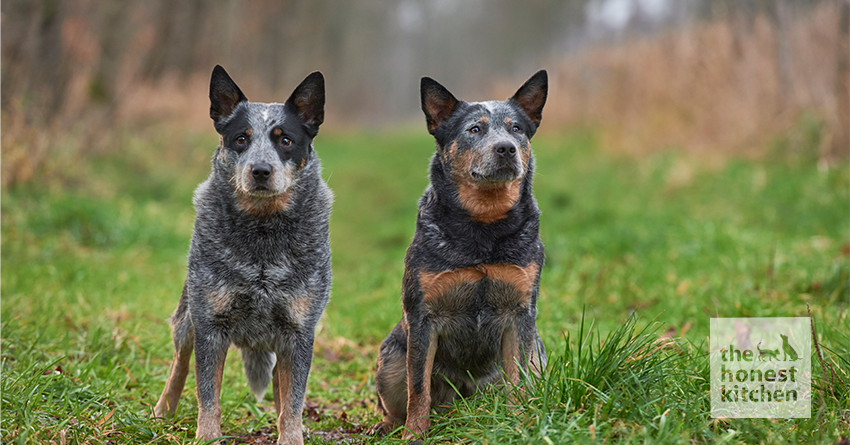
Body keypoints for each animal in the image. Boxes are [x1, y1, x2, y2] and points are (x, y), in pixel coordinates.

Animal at [154, 63, 330, 444]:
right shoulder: (209, 326)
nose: (260, 170)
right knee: (179, 362)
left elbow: (292, 401)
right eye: (241, 138)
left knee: (281, 390)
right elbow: (208, 395)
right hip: (187, 317)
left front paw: (291, 436)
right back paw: (163, 410)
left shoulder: (299, 333)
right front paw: (206, 437)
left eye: (285, 139)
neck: (262, 235)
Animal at [368, 71, 548, 438]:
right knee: (396, 399)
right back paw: (387, 425)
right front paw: (414, 435)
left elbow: (519, 380)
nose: (506, 148)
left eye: (516, 128)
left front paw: (521, 424)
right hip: (391, 358)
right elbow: (418, 388)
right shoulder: (423, 317)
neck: (483, 227)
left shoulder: (521, 314)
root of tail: (462, 402)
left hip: (539, 351)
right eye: (474, 129)